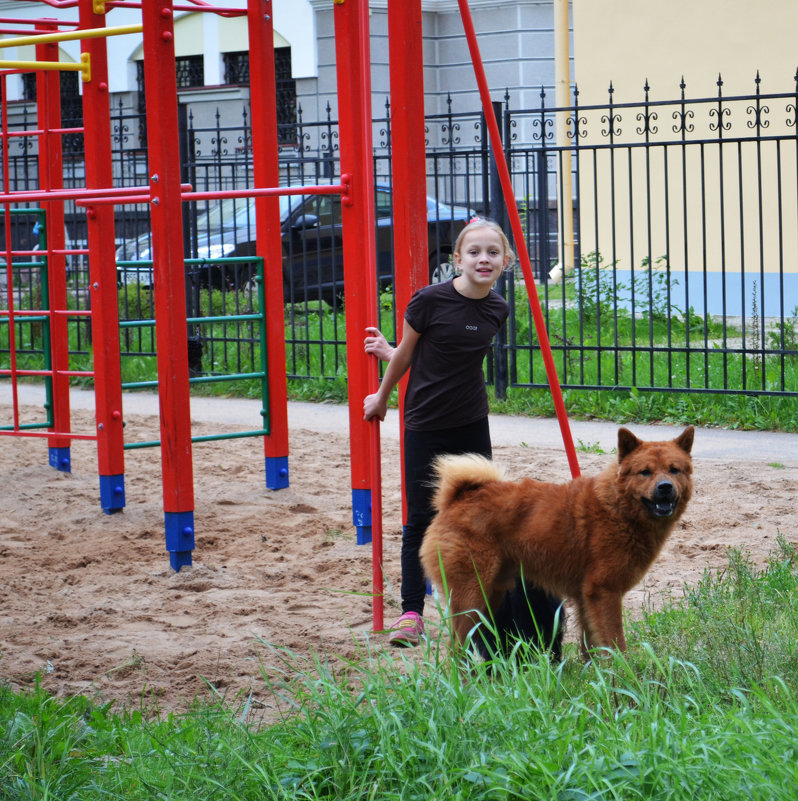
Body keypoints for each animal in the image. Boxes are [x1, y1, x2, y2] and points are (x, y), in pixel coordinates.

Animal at [424, 428, 692, 652]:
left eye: (674, 470)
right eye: (645, 472)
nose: (665, 486)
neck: (618, 508)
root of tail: (457, 499)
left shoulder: (586, 598)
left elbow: (591, 648)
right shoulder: (604, 592)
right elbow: (616, 646)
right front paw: (623, 677)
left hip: (491, 596)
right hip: (471, 596)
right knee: (456, 649)